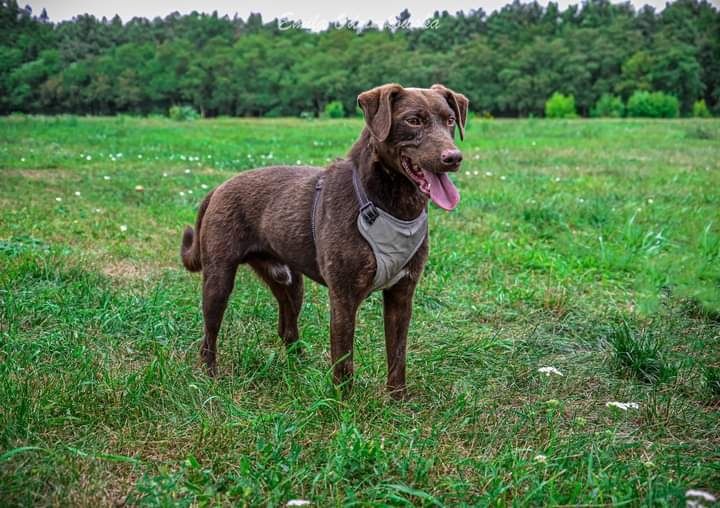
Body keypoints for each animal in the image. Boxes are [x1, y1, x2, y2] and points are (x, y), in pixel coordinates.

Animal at [181, 83, 466, 396]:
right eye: (413, 120)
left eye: (450, 120)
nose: (453, 157)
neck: (390, 205)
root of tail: (218, 187)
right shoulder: (343, 296)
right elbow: (343, 361)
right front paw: (345, 403)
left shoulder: (402, 293)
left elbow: (397, 356)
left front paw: (397, 400)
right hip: (218, 280)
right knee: (209, 333)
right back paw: (210, 377)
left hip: (290, 282)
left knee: (287, 327)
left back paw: (299, 368)